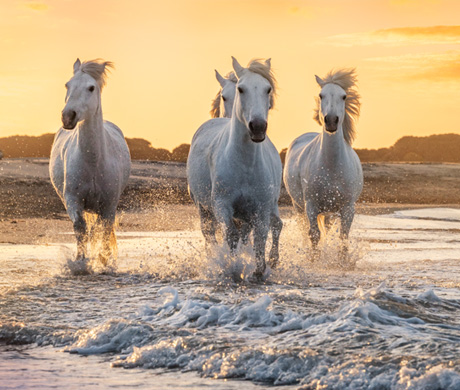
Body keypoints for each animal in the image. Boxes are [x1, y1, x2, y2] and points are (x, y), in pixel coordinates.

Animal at [49, 58, 130, 268]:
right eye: (67, 85)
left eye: (91, 88)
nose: (68, 117)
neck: (93, 163)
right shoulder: (73, 200)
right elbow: (81, 228)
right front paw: (81, 262)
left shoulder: (109, 205)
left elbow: (100, 230)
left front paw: (103, 261)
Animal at [188, 57, 284, 278]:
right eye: (241, 89)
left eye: (268, 89)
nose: (257, 127)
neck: (245, 165)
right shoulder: (222, 205)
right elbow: (230, 236)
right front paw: (232, 267)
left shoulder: (261, 208)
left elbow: (260, 238)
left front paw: (259, 270)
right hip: (203, 207)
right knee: (209, 233)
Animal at [284, 68, 362, 254]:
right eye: (321, 95)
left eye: (344, 96)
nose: (331, 121)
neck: (332, 167)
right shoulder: (311, 206)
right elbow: (314, 236)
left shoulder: (347, 208)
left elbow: (343, 239)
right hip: (298, 207)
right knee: (304, 232)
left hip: (329, 212)